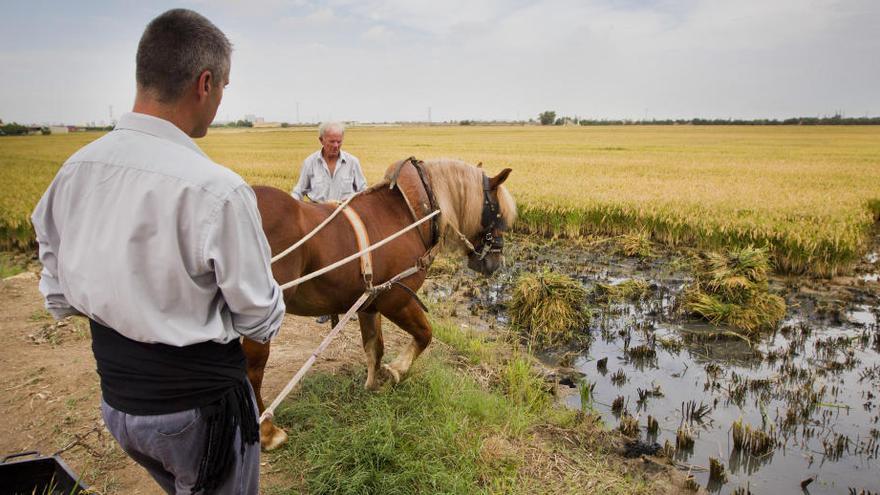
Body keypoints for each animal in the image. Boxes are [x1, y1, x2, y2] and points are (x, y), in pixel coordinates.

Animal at [244, 158, 516, 450]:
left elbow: (374, 347)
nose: (495, 264)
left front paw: (373, 385)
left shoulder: (369, 302)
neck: (409, 215)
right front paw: (397, 371)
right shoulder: (397, 299)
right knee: (252, 372)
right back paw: (267, 431)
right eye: (498, 214)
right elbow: (425, 334)